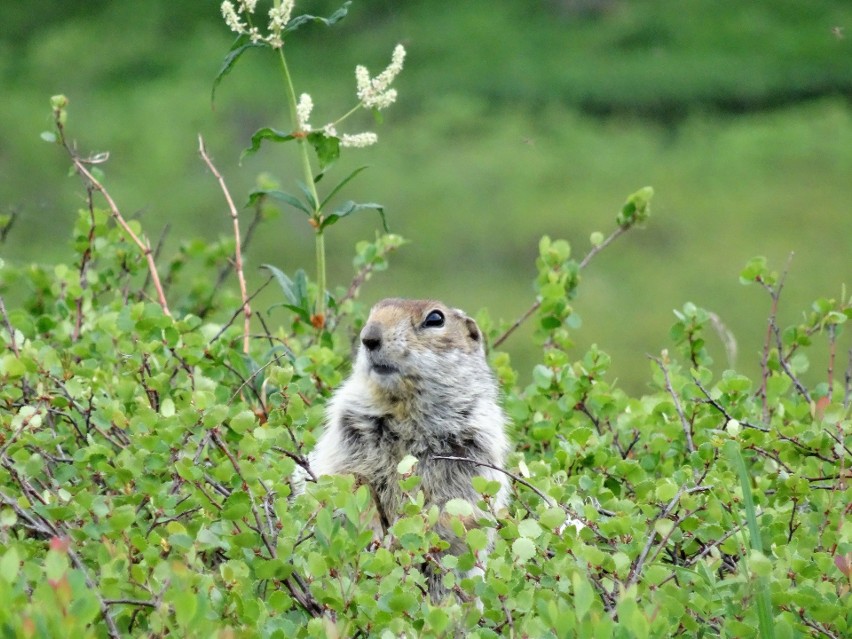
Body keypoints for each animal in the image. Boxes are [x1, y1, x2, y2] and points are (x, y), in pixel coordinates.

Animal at [310, 298, 510, 604]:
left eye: (436, 319)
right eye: (374, 310)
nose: (369, 337)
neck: (406, 412)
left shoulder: (473, 448)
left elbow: (453, 507)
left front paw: (404, 538)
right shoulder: (350, 432)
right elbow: (349, 481)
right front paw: (372, 530)